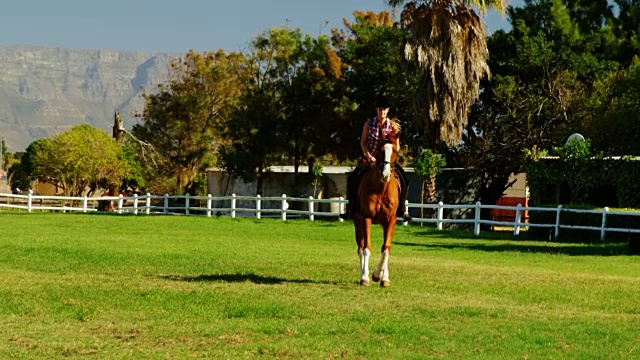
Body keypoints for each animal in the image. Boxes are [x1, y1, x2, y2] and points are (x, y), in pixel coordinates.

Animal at [356, 135, 400, 286]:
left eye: (395, 151)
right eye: (380, 151)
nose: (385, 174)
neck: (381, 188)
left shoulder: (391, 220)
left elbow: (386, 248)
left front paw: (380, 276)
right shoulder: (366, 218)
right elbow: (366, 248)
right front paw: (365, 277)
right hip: (358, 222)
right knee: (360, 247)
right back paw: (363, 274)